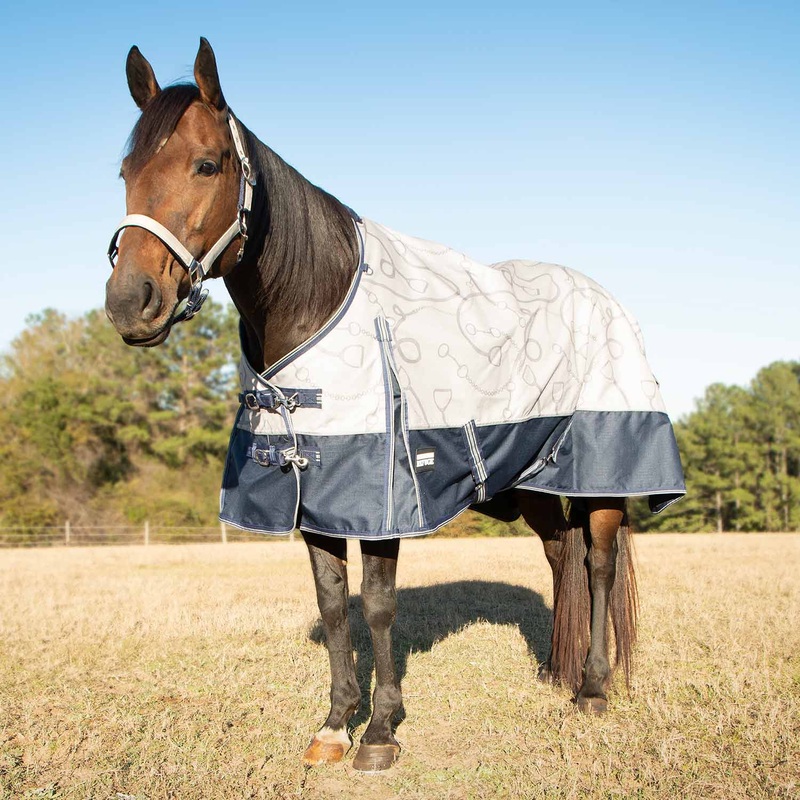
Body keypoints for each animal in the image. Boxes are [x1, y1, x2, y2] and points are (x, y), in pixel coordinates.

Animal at [105, 38, 684, 772]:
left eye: (206, 164)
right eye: (125, 171)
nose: (130, 302)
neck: (321, 299)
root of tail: (606, 300)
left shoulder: (379, 499)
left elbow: (378, 606)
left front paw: (379, 732)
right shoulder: (316, 497)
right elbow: (333, 606)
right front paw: (333, 725)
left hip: (601, 475)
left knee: (597, 564)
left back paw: (592, 689)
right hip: (531, 480)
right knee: (561, 558)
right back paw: (556, 670)